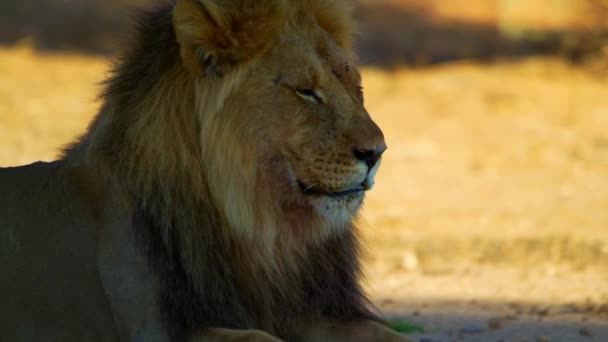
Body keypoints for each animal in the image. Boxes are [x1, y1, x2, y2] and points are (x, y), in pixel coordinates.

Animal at [0, 0, 410, 342]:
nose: (376, 152)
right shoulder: (157, 328)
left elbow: (390, 335)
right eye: (306, 91)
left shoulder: (308, 313)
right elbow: (257, 338)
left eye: (356, 87)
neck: (263, 229)